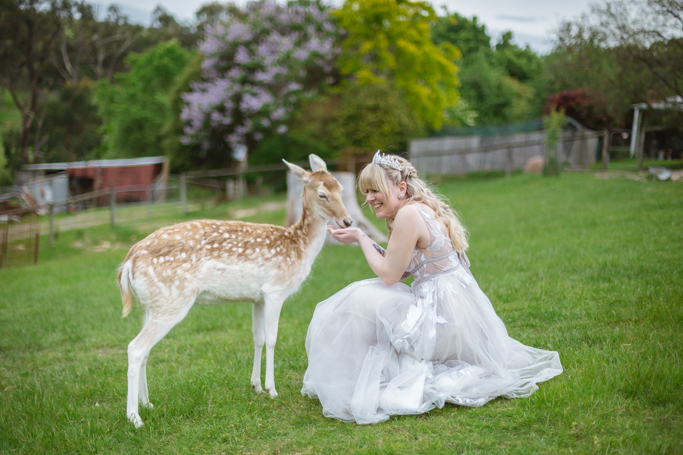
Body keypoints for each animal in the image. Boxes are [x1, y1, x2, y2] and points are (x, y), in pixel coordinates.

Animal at [116, 154, 352, 428]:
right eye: (323, 194)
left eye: (341, 188)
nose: (348, 221)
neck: (298, 248)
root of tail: (128, 263)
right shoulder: (275, 290)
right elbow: (272, 338)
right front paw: (272, 390)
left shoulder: (257, 298)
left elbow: (258, 338)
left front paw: (256, 386)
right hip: (172, 301)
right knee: (136, 348)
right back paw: (135, 418)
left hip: (153, 304)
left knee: (145, 350)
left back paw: (148, 404)